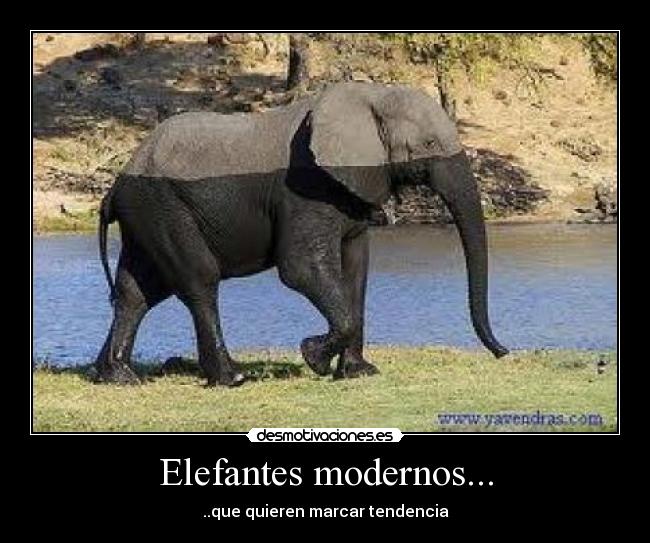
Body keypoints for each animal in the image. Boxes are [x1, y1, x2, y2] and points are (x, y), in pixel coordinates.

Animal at [95, 81, 508, 387]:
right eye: (429, 145)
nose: (503, 353)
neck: (372, 94)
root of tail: (115, 186)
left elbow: (356, 270)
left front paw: (358, 373)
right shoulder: (305, 188)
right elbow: (301, 269)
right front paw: (313, 357)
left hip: (147, 214)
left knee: (138, 291)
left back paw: (116, 376)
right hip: (163, 205)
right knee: (199, 280)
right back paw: (232, 378)